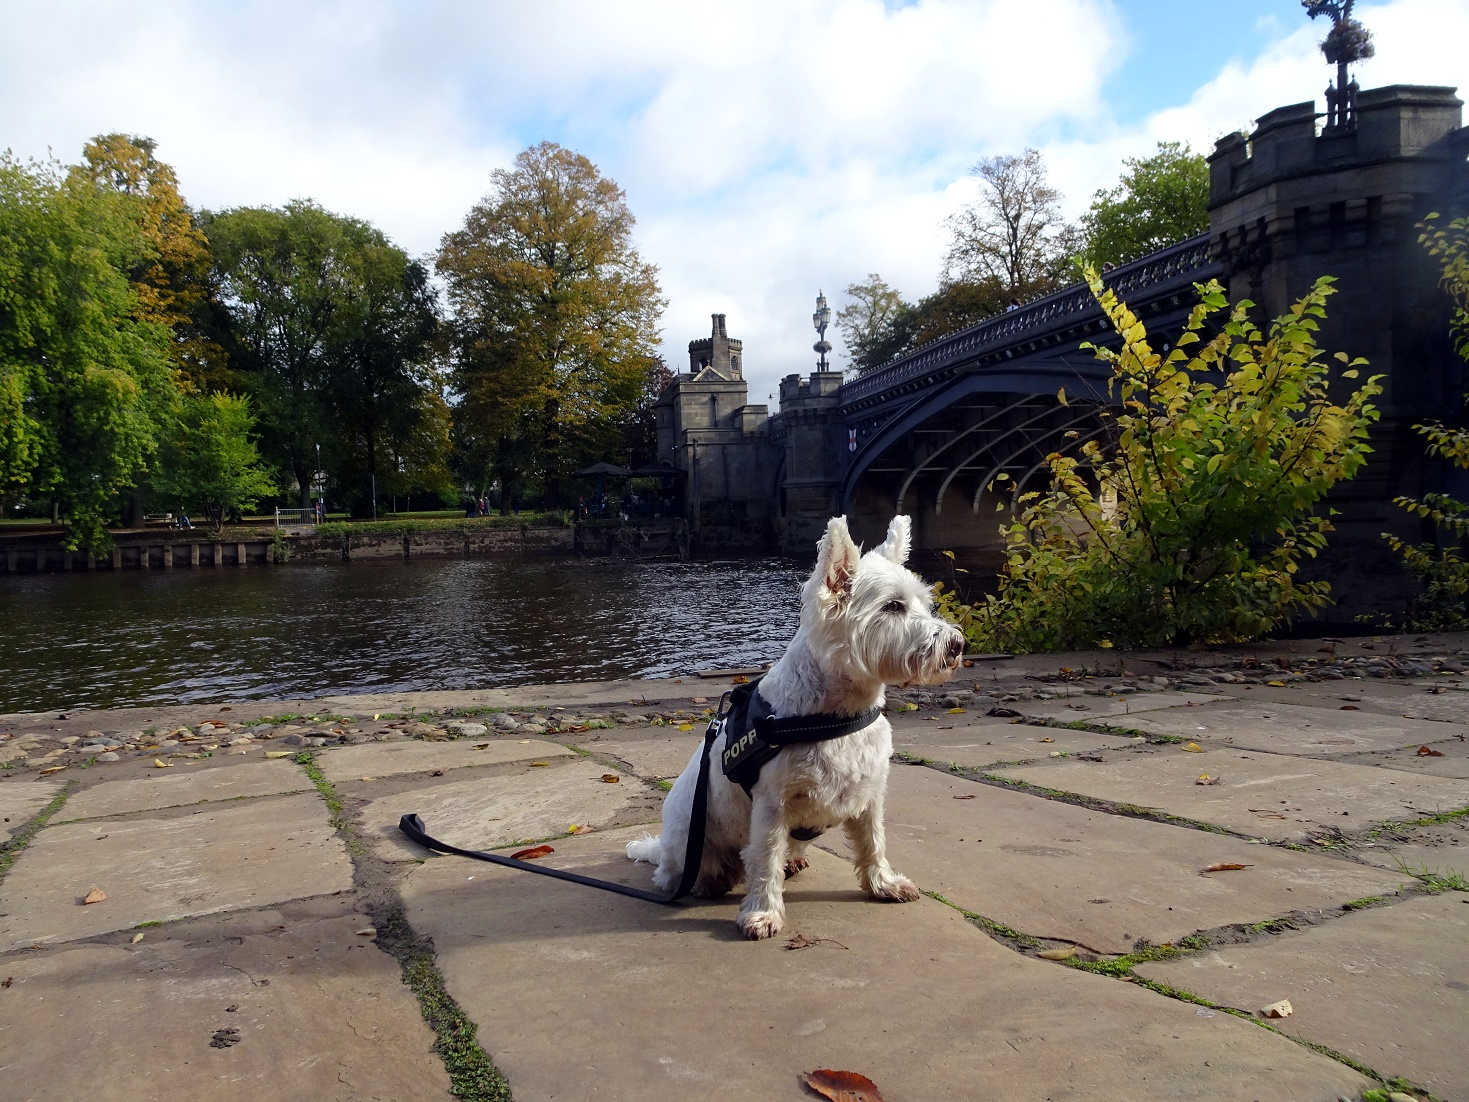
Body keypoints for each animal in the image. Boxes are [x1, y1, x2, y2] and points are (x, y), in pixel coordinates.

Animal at [628, 517, 963, 940]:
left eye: (924, 603)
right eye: (892, 606)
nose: (957, 644)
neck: (838, 713)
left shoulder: (870, 794)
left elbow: (873, 841)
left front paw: (883, 885)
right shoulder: (772, 804)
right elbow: (766, 857)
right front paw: (763, 913)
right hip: (689, 837)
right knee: (677, 872)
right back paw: (707, 881)